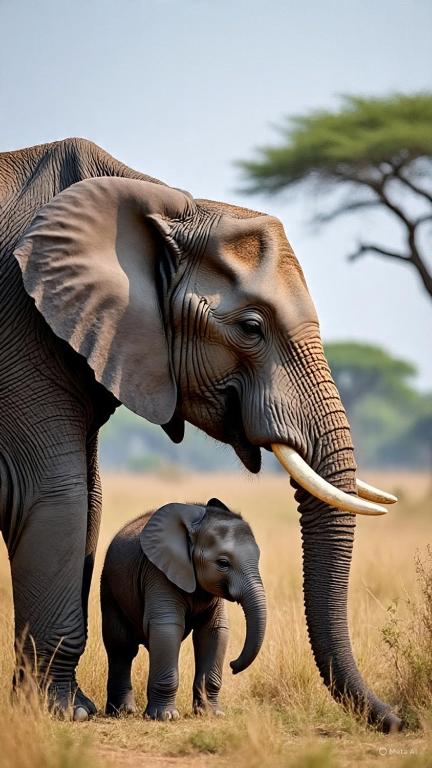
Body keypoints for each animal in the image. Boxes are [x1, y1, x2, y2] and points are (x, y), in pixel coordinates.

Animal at [101, 498, 266, 720]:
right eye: (223, 563)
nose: (232, 665)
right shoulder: (158, 571)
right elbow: (167, 627)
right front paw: (166, 717)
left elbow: (214, 631)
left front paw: (212, 714)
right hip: (109, 588)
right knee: (121, 647)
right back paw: (123, 712)